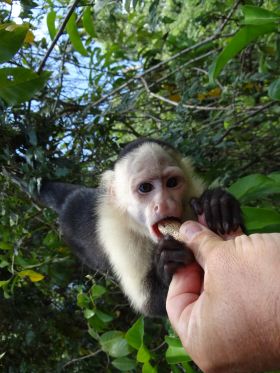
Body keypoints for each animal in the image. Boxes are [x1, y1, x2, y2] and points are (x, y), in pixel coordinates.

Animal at [37, 138, 243, 316]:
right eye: (145, 188)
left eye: (172, 183)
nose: (165, 203)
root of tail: (73, 200)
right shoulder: (118, 234)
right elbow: (148, 304)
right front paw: (167, 262)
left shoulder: (194, 194)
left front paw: (217, 205)